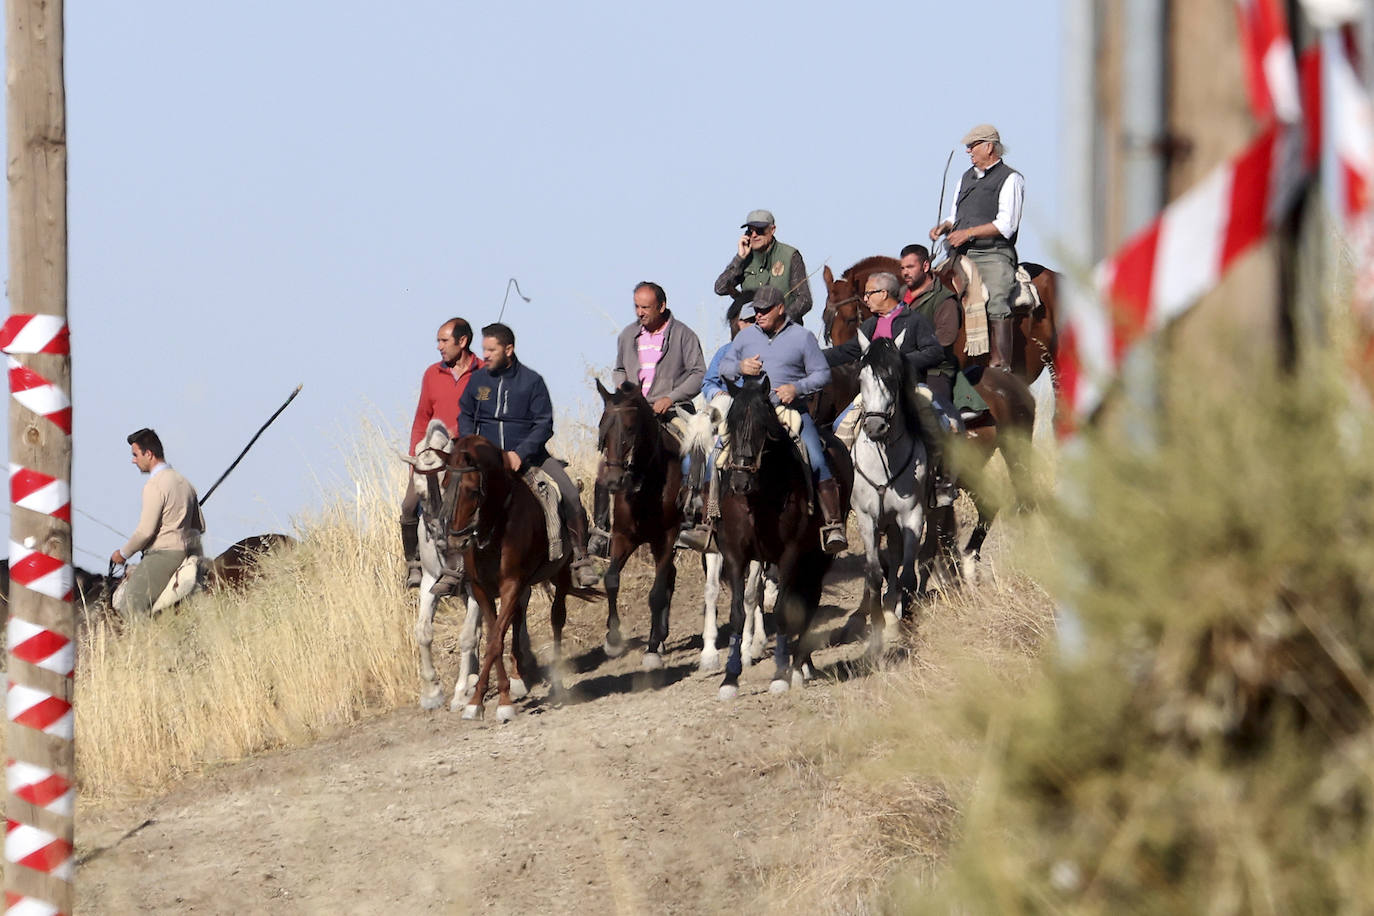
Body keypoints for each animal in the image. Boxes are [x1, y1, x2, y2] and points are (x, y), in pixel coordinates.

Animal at [596, 376, 687, 670]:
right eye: (603, 429)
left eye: (629, 428)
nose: (613, 481)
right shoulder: (624, 536)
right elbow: (611, 580)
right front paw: (613, 639)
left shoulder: (667, 537)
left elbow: (656, 593)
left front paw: (651, 649)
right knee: (671, 576)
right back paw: (662, 634)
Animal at [714, 376, 851, 697]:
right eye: (731, 423)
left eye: (763, 425)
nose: (740, 481)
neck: (760, 497)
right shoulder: (736, 555)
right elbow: (738, 613)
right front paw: (730, 678)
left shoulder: (790, 554)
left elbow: (780, 613)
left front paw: (779, 675)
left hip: (818, 557)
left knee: (809, 600)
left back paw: (800, 666)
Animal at [846, 333, 934, 656]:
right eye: (860, 378)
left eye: (892, 377)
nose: (874, 426)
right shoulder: (866, 517)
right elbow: (874, 573)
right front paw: (876, 632)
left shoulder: (913, 515)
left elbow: (908, 573)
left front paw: (905, 626)